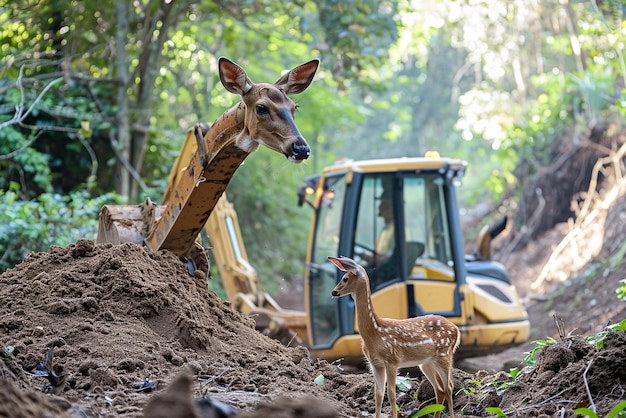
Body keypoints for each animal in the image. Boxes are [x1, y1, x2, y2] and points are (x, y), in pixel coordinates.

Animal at [326, 255, 458, 418]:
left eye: (345, 278)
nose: (333, 292)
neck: (374, 333)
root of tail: (456, 329)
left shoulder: (392, 360)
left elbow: (391, 394)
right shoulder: (375, 363)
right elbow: (378, 394)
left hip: (444, 354)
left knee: (449, 387)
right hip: (426, 363)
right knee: (439, 389)